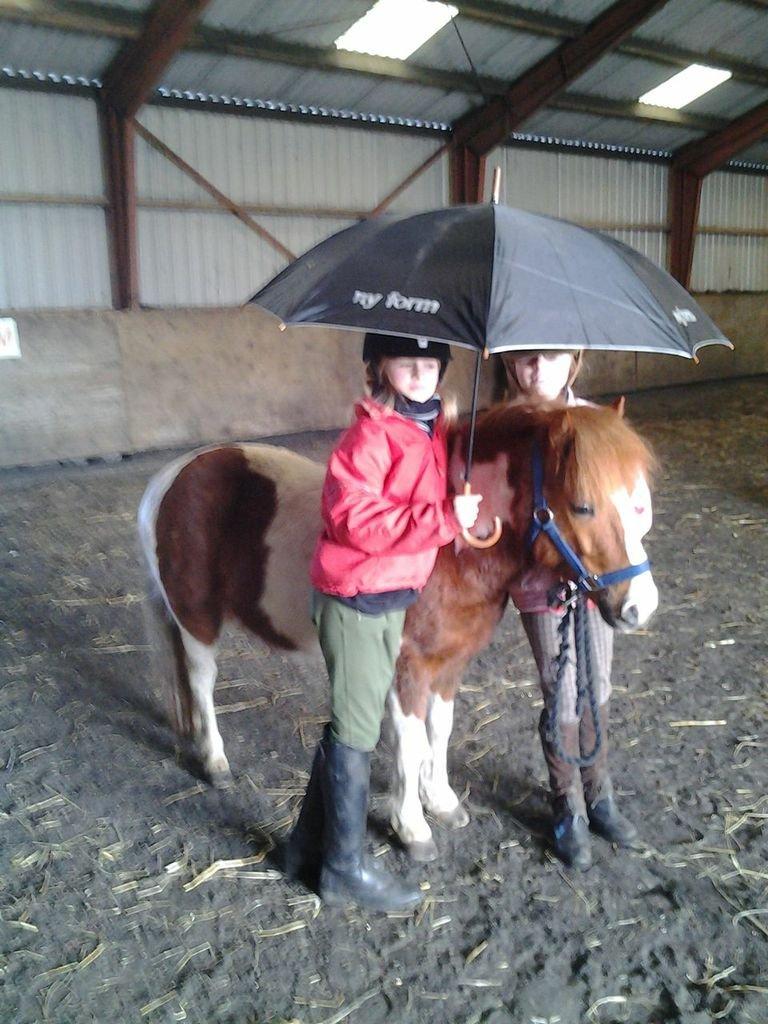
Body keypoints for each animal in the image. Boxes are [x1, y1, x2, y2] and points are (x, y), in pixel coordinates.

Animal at [137, 399, 655, 856]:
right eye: (583, 506)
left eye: (640, 504)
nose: (640, 606)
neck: (448, 552)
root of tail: (175, 475)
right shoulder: (407, 668)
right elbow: (409, 743)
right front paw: (412, 828)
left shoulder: (449, 665)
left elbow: (439, 731)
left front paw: (442, 802)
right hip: (197, 619)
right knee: (202, 681)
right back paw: (214, 759)